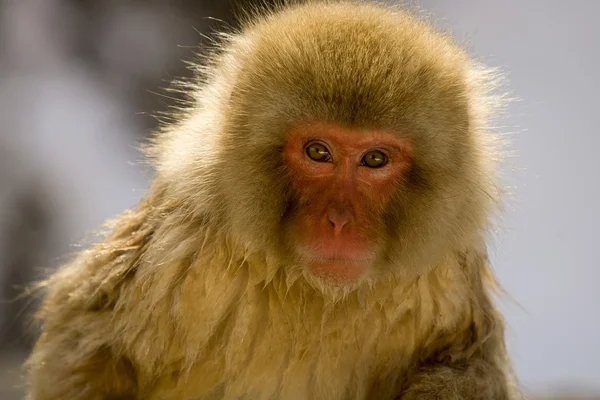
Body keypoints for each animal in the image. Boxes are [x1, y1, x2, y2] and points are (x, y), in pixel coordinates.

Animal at [24, 0, 520, 400]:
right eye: (318, 152)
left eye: (375, 159)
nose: (338, 221)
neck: (314, 291)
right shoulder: (177, 250)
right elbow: (84, 346)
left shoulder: (446, 279)